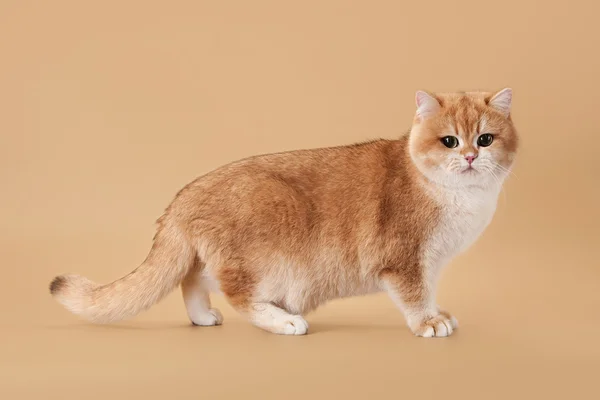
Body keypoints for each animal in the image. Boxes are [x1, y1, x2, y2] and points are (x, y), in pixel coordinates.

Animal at [50, 88, 520, 338]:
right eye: (449, 141)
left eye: (485, 138)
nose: (471, 157)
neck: (460, 197)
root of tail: (184, 195)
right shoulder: (405, 260)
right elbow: (415, 296)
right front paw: (428, 323)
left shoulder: (431, 262)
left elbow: (430, 291)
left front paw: (439, 314)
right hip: (271, 253)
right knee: (237, 293)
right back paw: (285, 322)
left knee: (191, 279)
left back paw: (203, 318)